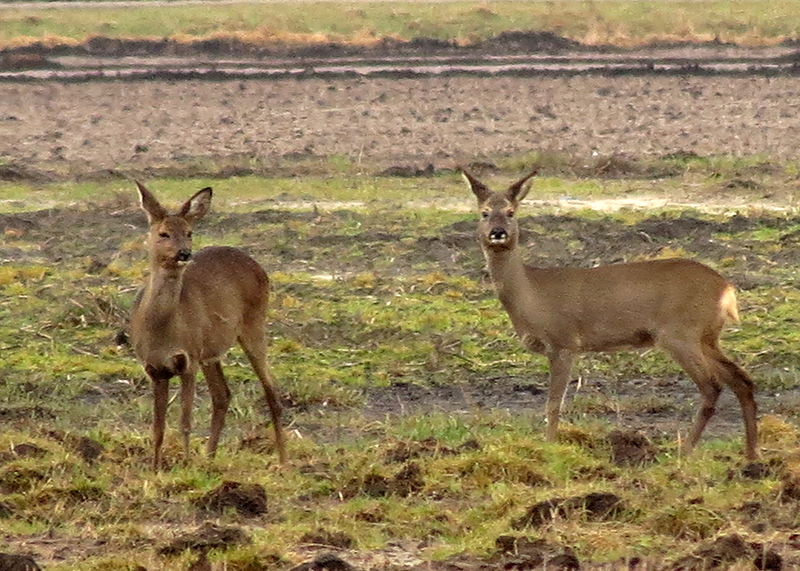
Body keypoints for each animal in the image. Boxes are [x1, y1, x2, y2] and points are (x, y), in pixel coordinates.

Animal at [133, 183, 290, 470]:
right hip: (212, 349)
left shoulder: (189, 359)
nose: (185, 253)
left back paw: (283, 463)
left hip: (253, 324)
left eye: (189, 232)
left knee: (271, 391)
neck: (161, 329)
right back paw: (209, 457)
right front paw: (155, 469)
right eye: (163, 233)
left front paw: (185, 464)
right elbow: (157, 427)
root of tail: (257, 266)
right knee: (222, 394)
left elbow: (185, 422)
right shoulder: (154, 368)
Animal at [460, 169, 760, 460]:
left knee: (712, 386)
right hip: (706, 336)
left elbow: (553, 404)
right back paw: (750, 454)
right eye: (484, 212)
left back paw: (686, 450)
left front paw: (549, 447)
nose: (498, 232)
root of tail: (725, 288)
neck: (531, 294)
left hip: (680, 333)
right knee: (741, 380)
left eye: (511, 212)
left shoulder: (563, 341)